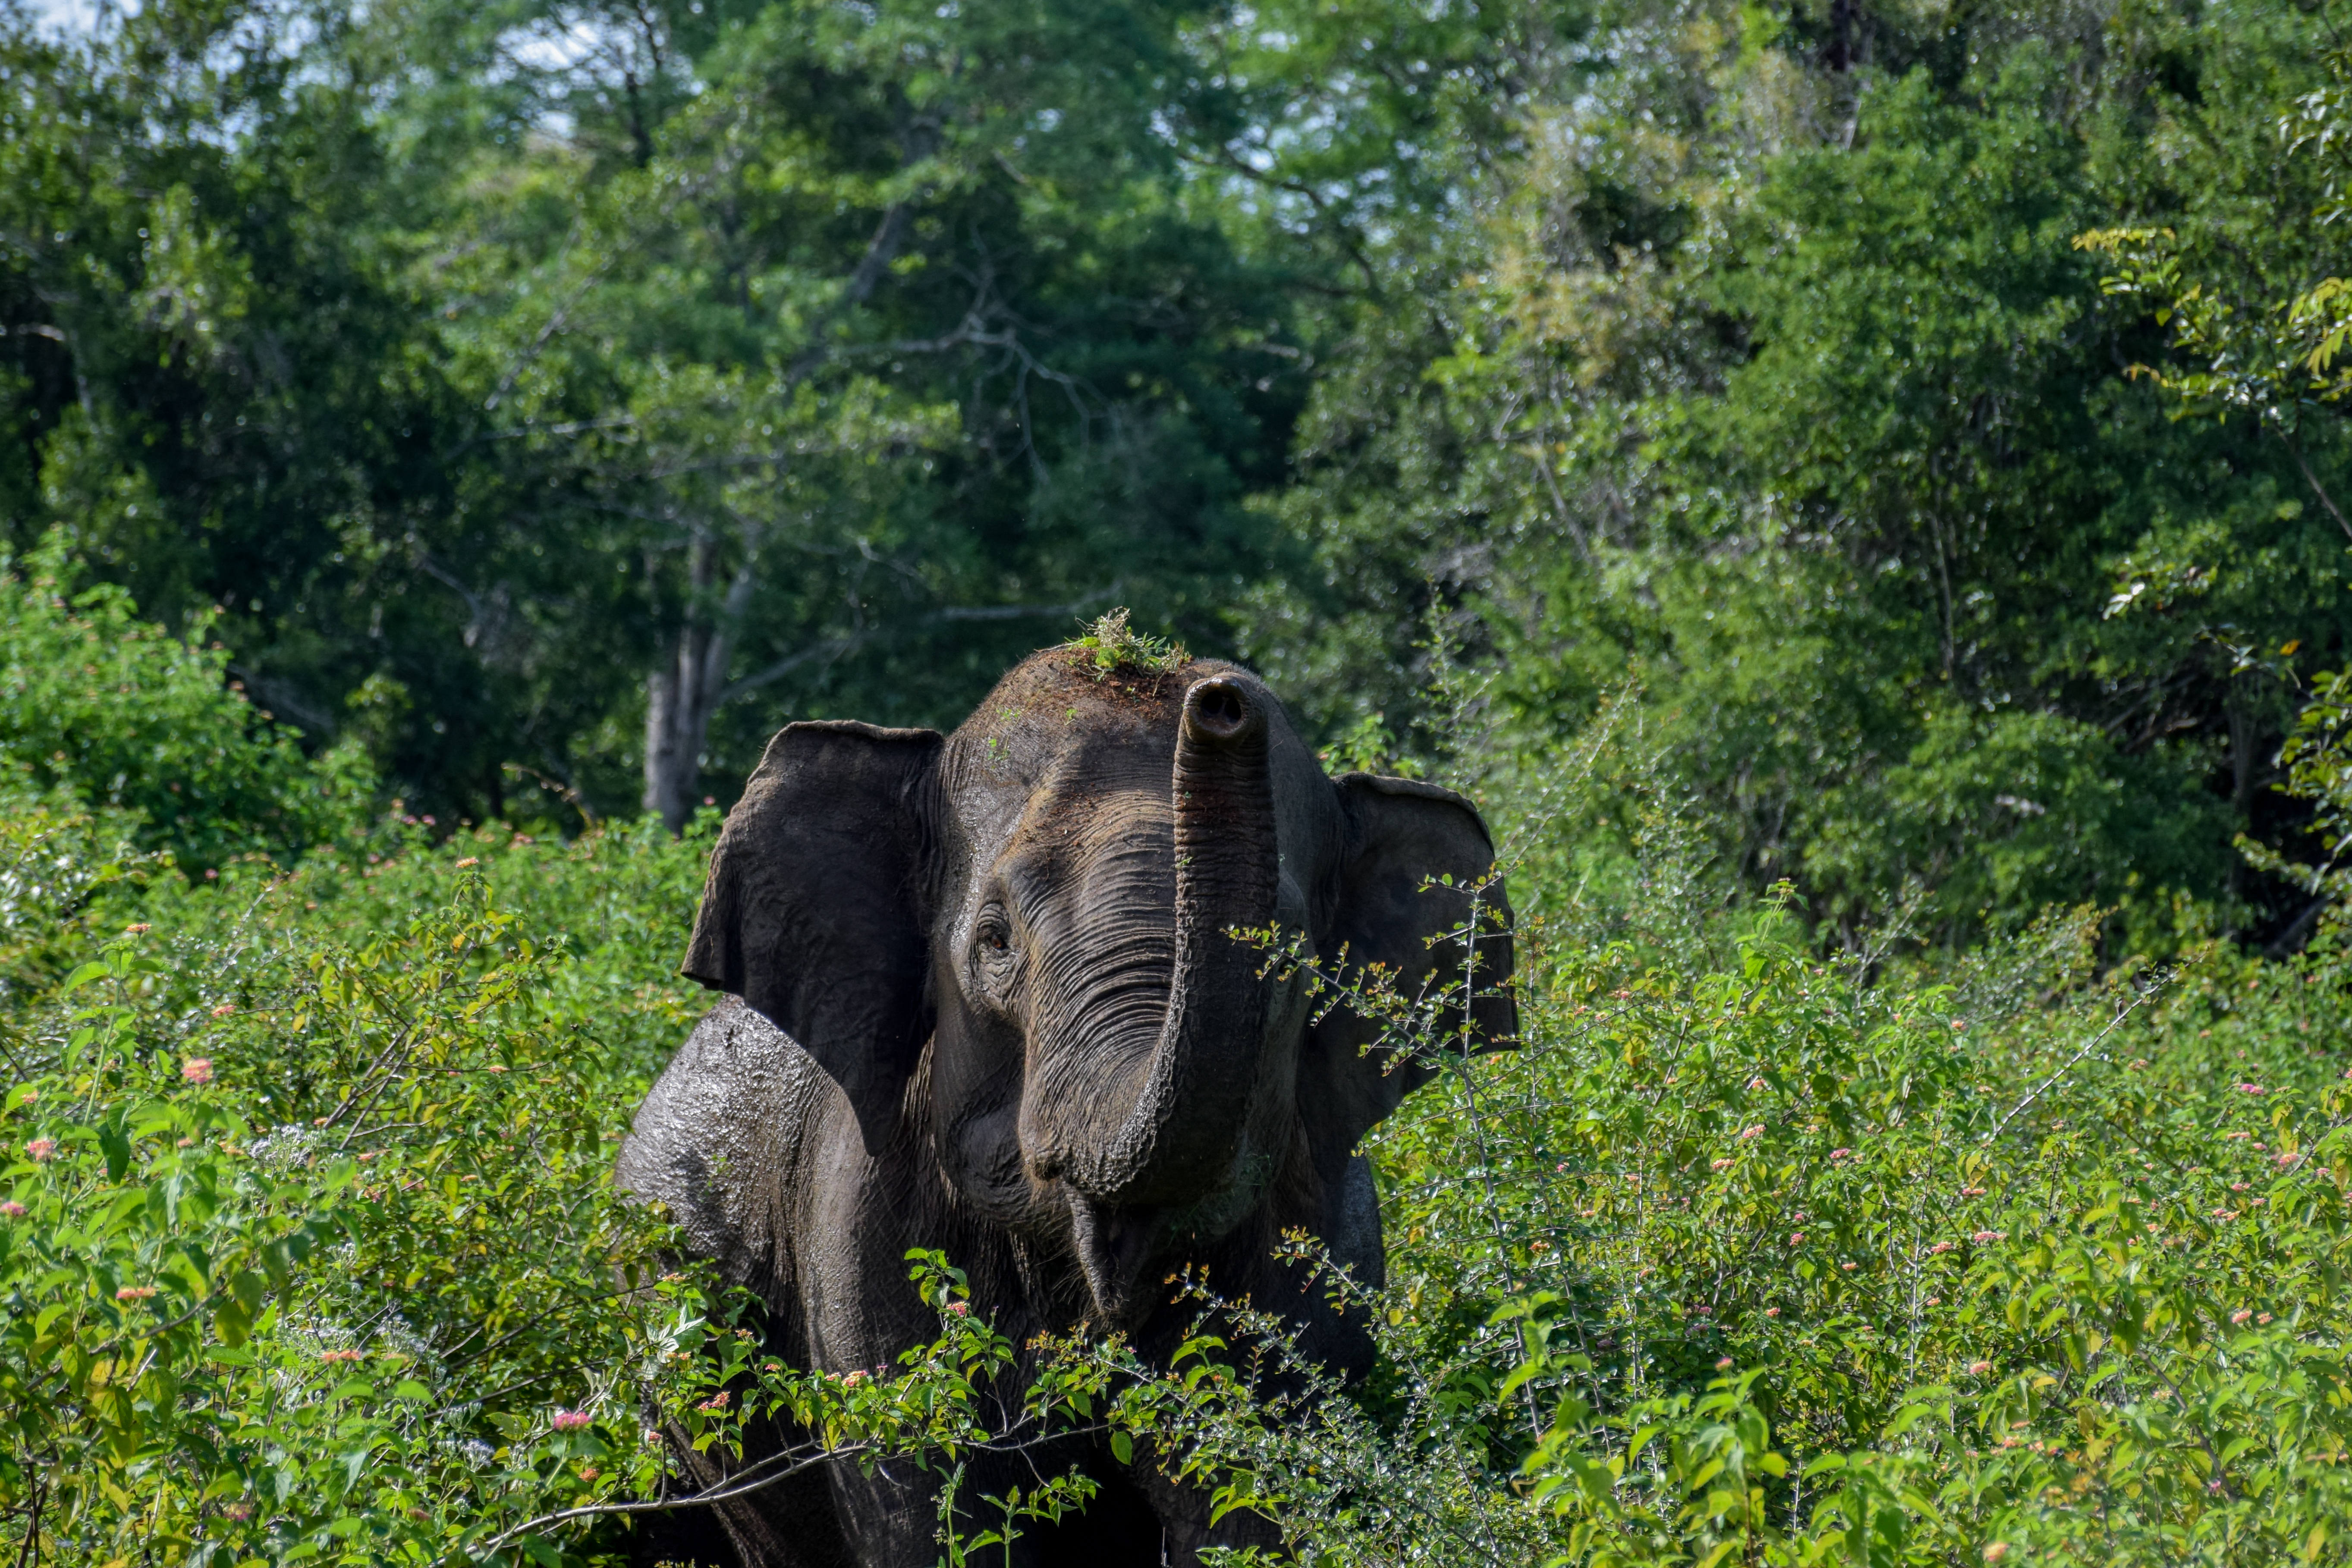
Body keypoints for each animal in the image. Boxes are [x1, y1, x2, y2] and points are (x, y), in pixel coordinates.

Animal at [616, 644, 1515, 1561]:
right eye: (995, 939)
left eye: (1286, 957)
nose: (1219, 706)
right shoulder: (858, 1236)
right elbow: (922, 1506)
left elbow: (1246, 1504)